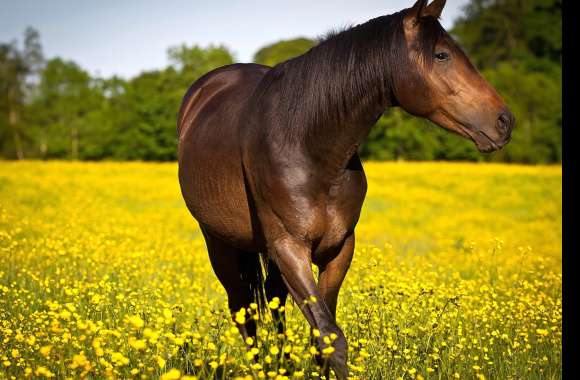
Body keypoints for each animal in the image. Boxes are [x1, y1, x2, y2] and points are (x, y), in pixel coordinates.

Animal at [176, 0, 512, 378]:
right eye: (441, 55)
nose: (504, 121)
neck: (308, 144)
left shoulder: (339, 247)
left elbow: (320, 335)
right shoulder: (290, 247)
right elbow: (330, 337)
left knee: (273, 303)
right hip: (219, 242)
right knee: (242, 308)